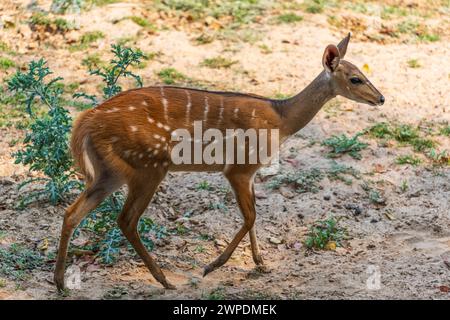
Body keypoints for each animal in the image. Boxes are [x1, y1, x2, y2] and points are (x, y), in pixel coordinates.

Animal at [52, 33, 384, 292]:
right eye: (355, 78)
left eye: (364, 71)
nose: (381, 98)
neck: (281, 119)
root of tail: (84, 122)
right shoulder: (238, 168)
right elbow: (250, 217)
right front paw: (212, 266)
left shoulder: (250, 173)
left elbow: (254, 216)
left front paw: (261, 264)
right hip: (149, 166)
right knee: (126, 219)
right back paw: (165, 281)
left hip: (110, 172)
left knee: (72, 212)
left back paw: (61, 283)